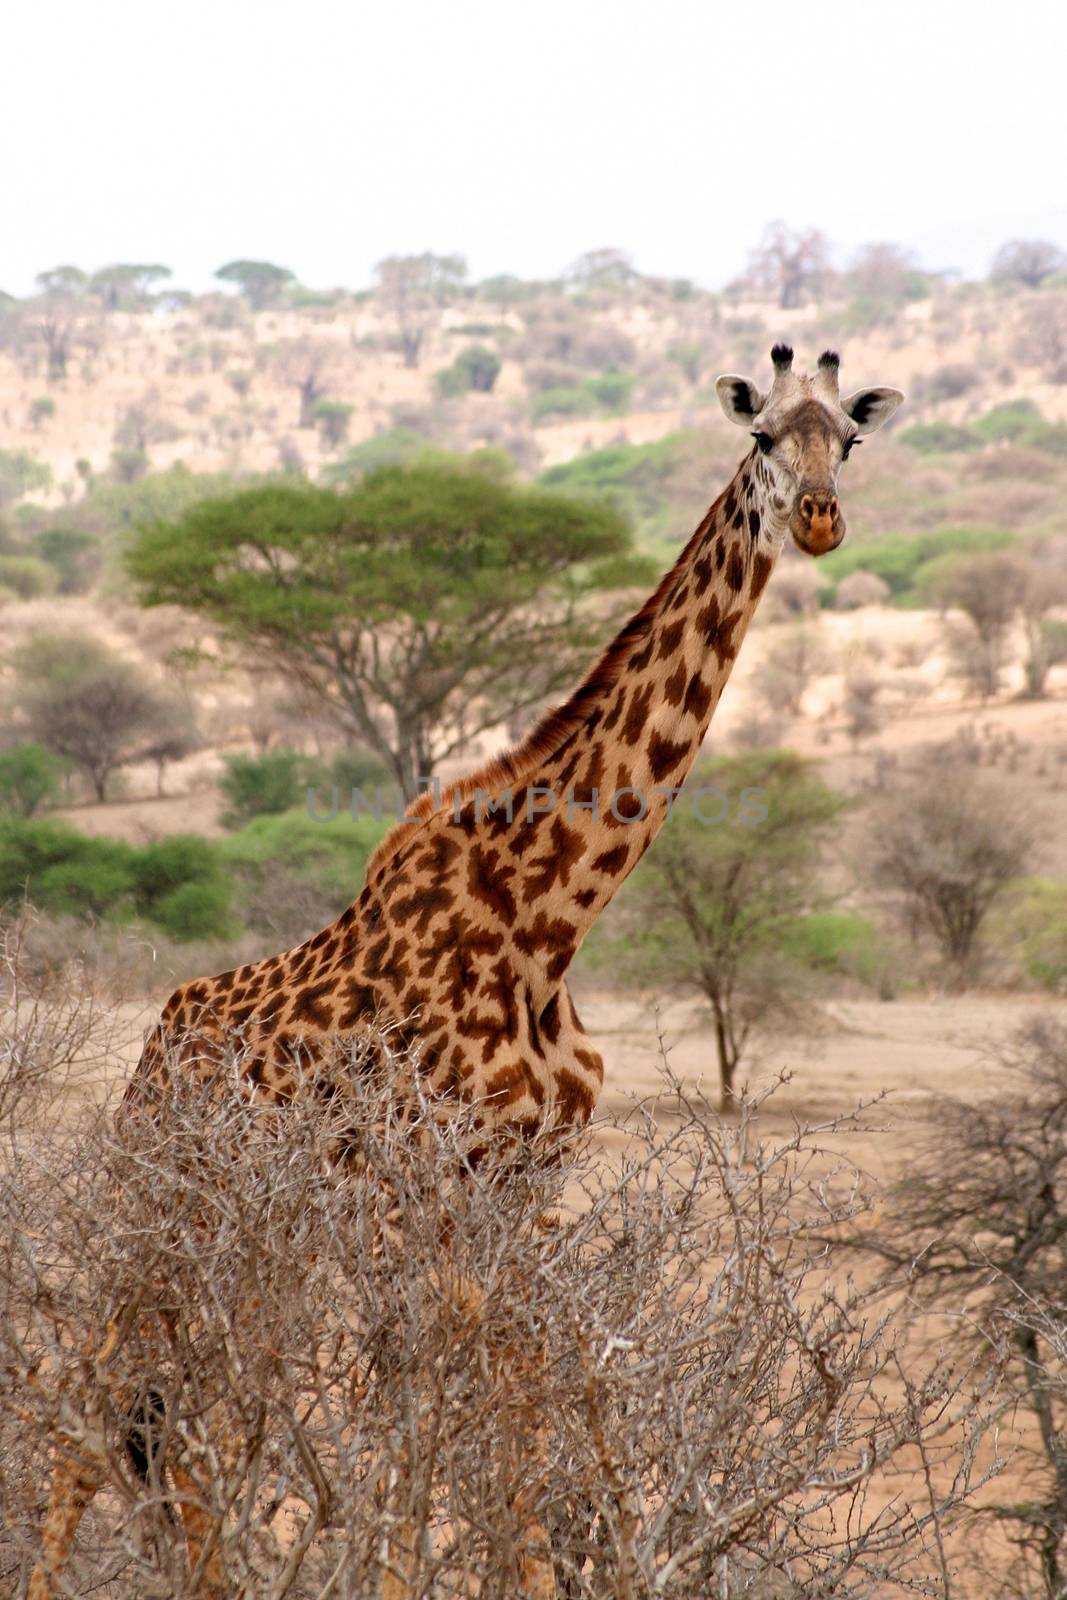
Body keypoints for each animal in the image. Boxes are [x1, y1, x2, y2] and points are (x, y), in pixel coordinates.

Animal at [31, 344, 902, 1593]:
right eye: (762, 438)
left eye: (851, 437)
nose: (820, 519)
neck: (550, 914)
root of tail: (151, 1055)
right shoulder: (435, 1181)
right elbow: (443, 1398)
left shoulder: (521, 1185)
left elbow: (529, 1385)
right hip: (171, 1206)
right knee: (96, 1392)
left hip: (255, 1236)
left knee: (184, 1408)